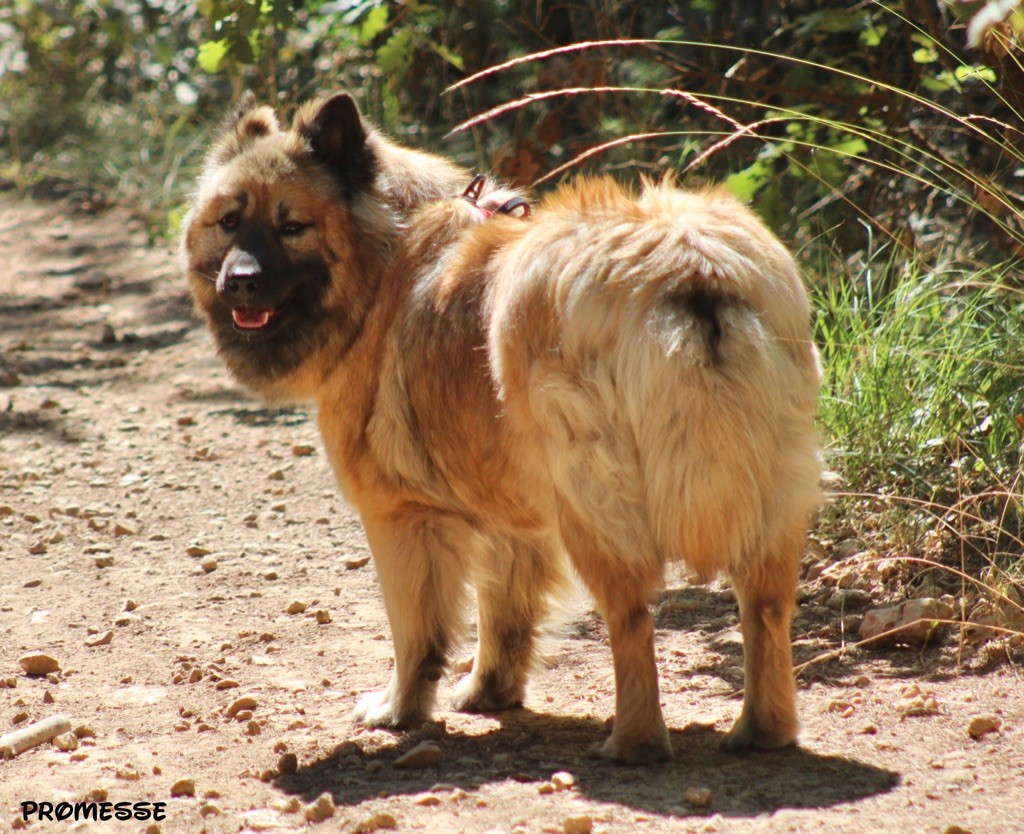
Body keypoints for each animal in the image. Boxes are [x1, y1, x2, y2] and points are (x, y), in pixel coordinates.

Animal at [184, 93, 819, 762]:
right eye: (230, 222)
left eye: (293, 226)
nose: (240, 281)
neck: (383, 258)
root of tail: (687, 267)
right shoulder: (511, 520)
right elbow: (504, 618)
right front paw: (490, 693)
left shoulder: (400, 516)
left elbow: (416, 634)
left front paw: (399, 710)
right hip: (769, 506)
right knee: (765, 613)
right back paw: (761, 731)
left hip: (595, 511)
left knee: (631, 623)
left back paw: (631, 743)